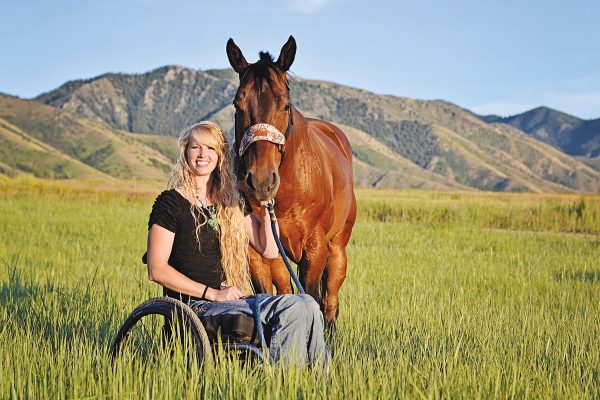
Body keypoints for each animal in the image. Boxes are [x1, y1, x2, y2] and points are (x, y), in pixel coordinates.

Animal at [225, 36, 356, 326]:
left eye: (285, 105)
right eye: (237, 105)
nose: (261, 181)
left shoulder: (315, 249)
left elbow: (313, 298)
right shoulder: (258, 254)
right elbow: (269, 296)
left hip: (337, 248)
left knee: (330, 299)